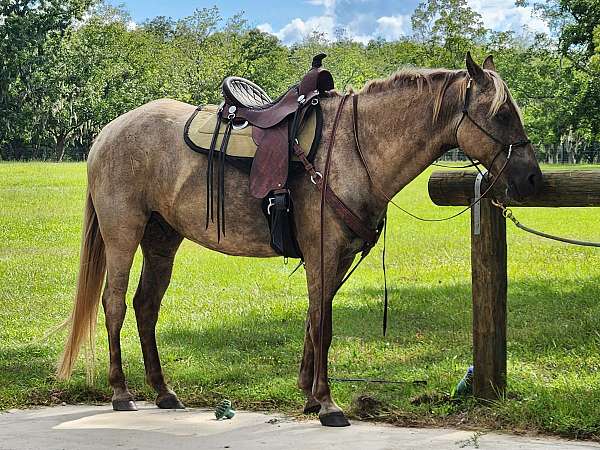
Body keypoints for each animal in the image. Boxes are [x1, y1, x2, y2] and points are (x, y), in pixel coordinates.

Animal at [57, 52, 544, 426]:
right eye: (502, 113)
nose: (532, 179)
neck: (353, 149)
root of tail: (107, 133)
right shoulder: (323, 253)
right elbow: (323, 325)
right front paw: (327, 404)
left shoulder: (334, 259)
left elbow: (315, 321)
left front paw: (310, 396)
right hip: (123, 233)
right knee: (115, 304)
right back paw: (121, 392)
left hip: (162, 238)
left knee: (145, 306)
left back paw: (163, 391)